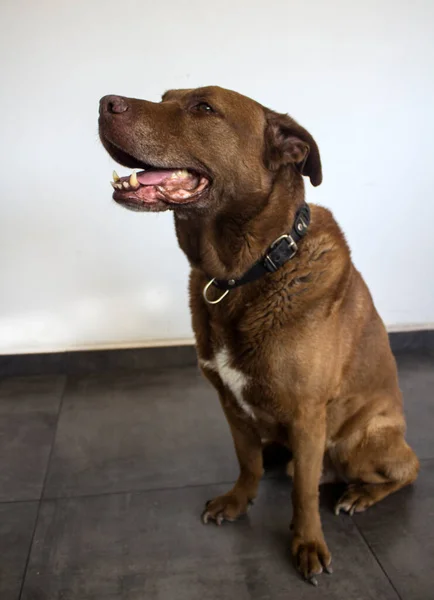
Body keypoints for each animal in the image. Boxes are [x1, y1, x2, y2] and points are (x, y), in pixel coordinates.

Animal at [97, 86, 418, 584]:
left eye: (204, 107)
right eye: (165, 96)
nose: (104, 103)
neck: (247, 270)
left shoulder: (308, 415)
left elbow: (303, 493)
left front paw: (307, 543)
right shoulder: (230, 402)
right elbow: (246, 461)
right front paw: (238, 500)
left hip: (357, 441)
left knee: (405, 470)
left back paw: (360, 495)